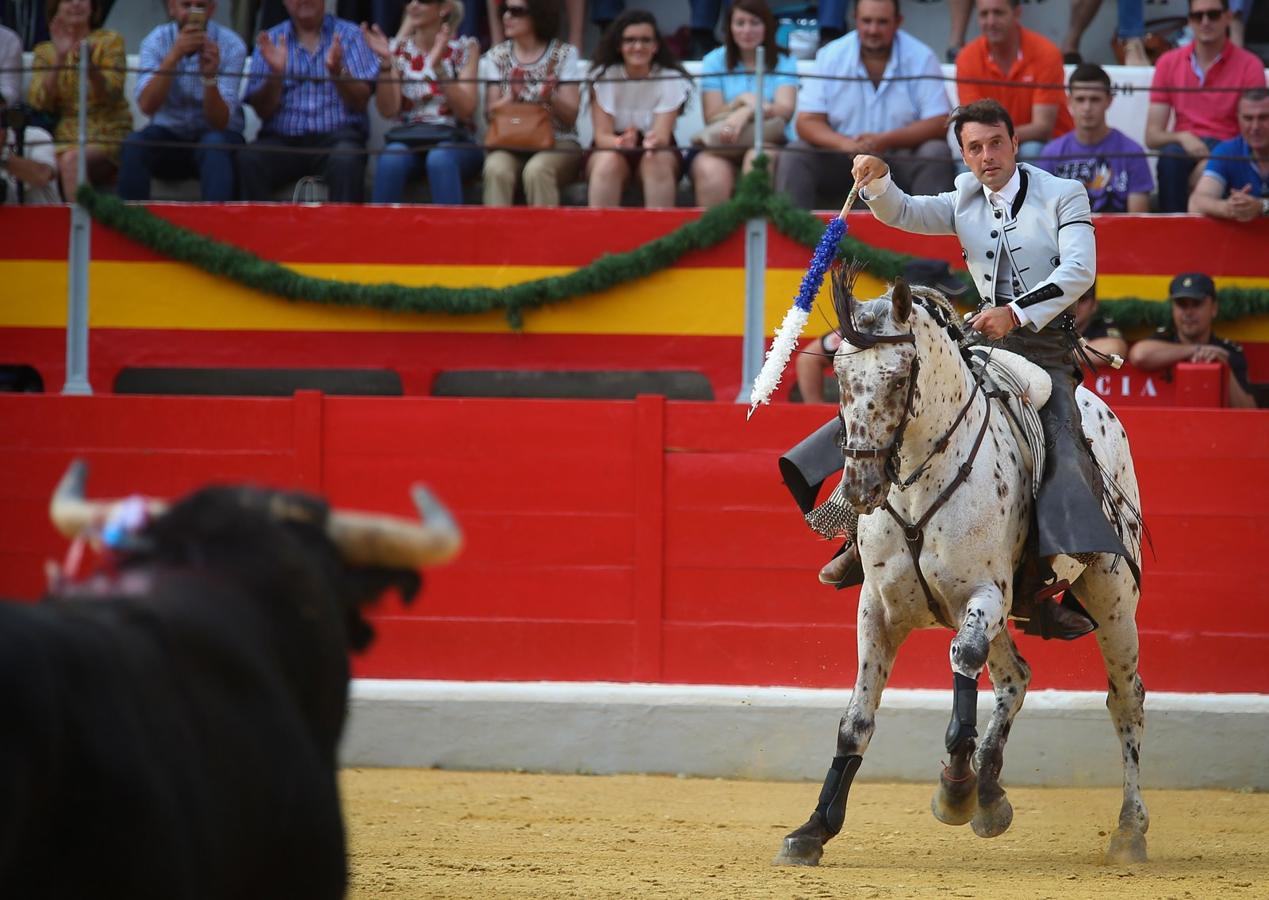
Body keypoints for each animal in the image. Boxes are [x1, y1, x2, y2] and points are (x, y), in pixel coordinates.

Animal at [771, 270, 1152, 868]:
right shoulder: (878, 608)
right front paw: (813, 829)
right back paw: (991, 792)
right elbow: (856, 720)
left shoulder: (985, 595)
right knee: (1016, 677)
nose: (859, 487)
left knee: (1125, 698)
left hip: (1112, 596)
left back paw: (1129, 830)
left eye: (898, 378)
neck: (918, 479)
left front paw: (955, 789)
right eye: (839, 376)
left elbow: (963, 663)